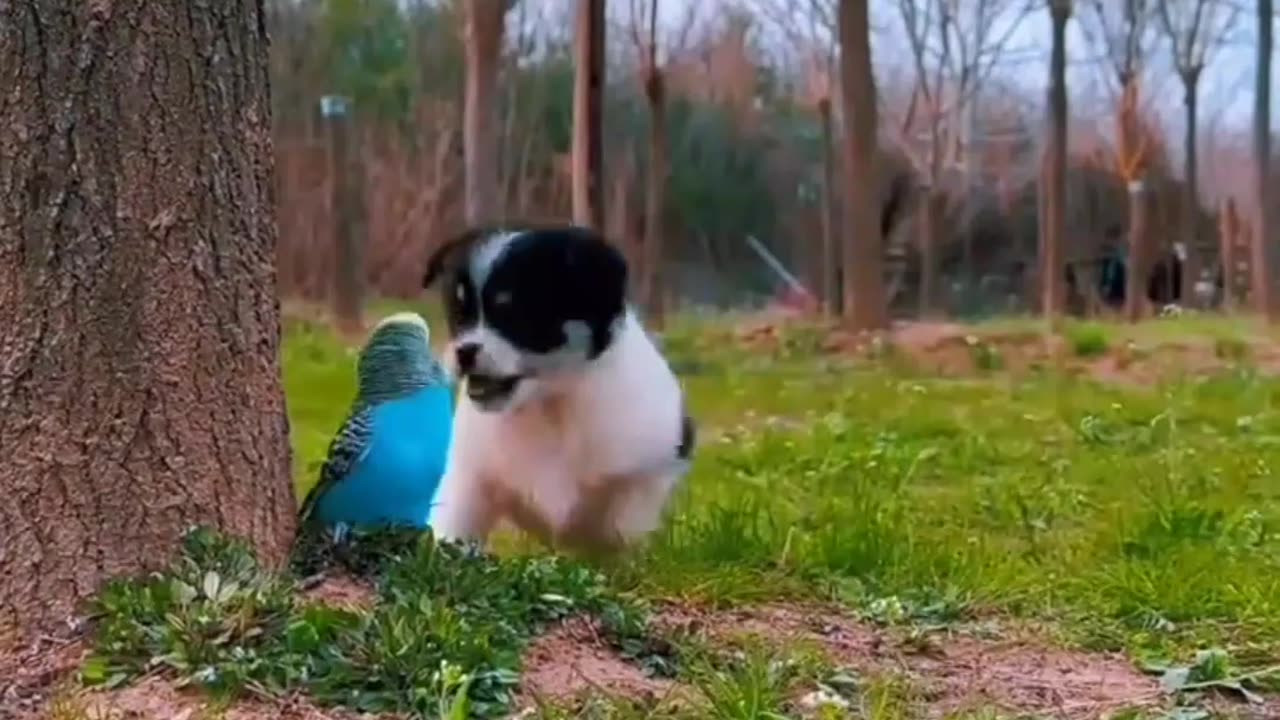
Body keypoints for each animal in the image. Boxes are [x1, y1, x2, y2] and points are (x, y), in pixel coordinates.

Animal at [422, 221, 696, 550]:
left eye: (517, 314)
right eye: (458, 315)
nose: (464, 352)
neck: (549, 404)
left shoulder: (647, 475)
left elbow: (624, 529)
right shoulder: (470, 478)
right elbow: (453, 525)